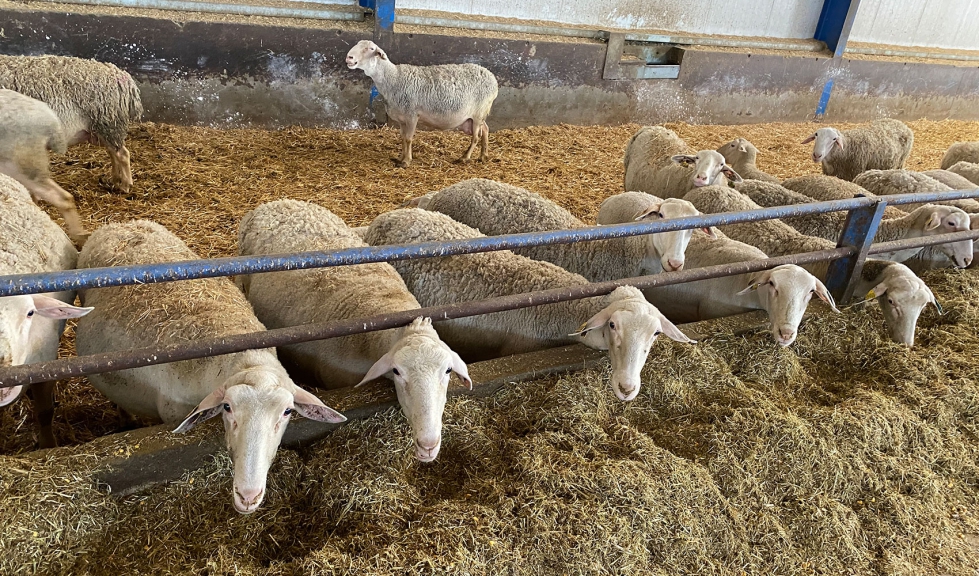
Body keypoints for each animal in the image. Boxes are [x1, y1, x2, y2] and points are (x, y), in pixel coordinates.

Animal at [0, 55, 143, 193]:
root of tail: (122, 76)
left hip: (109, 123)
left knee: (123, 154)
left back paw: (125, 185)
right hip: (102, 128)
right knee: (113, 153)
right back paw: (115, 179)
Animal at [75, 220, 346, 514]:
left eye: (287, 412)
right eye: (227, 407)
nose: (247, 496)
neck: (241, 355)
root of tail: (120, 224)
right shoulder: (172, 412)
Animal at [345, 40, 498, 167]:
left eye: (371, 49)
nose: (349, 57)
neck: (394, 79)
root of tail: (492, 77)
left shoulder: (412, 115)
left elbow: (408, 138)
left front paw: (406, 162)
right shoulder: (402, 119)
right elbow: (402, 138)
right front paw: (400, 158)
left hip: (478, 112)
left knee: (476, 137)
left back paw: (465, 158)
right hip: (475, 116)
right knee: (485, 129)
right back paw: (483, 156)